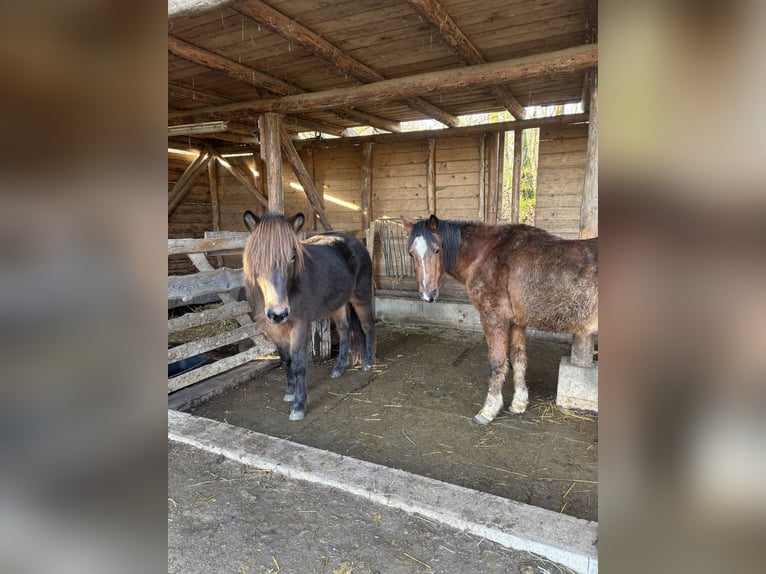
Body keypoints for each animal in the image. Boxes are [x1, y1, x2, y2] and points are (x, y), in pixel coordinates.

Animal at [242, 211, 376, 421]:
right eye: (257, 258)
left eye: (292, 258)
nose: (279, 313)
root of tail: (355, 240)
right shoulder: (274, 330)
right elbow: (285, 361)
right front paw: (290, 392)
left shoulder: (299, 327)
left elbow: (298, 365)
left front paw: (299, 406)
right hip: (338, 304)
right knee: (344, 330)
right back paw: (339, 367)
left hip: (361, 296)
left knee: (368, 326)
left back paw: (368, 363)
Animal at [402, 214, 598, 425]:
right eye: (411, 253)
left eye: (437, 249)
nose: (427, 295)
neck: (486, 252)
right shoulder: (517, 323)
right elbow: (518, 359)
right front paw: (519, 403)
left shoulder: (494, 318)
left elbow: (497, 362)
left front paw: (489, 409)